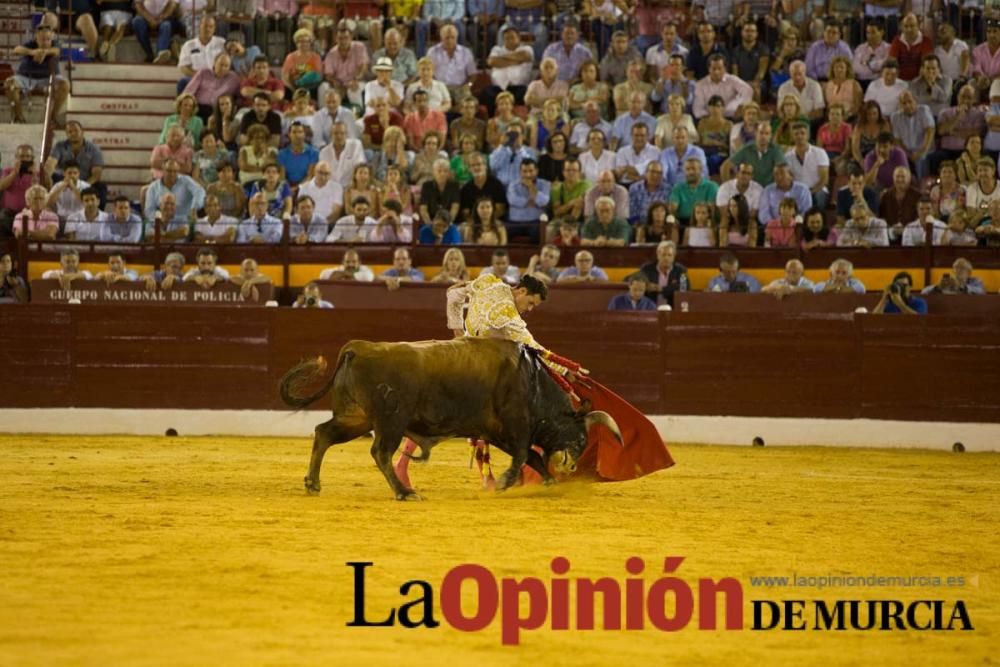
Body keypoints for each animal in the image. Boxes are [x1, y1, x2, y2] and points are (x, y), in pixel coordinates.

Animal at [278, 336, 620, 498]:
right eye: (580, 436)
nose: (571, 466)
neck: (532, 379)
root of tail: (357, 348)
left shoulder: (496, 431)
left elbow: (531, 457)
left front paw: (547, 481)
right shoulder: (516, 425)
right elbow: (525, 454)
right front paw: (506, 482)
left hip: (355, 417)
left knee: (324, 433)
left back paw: (313, 483)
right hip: (391, 420)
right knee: (380, 452)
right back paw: (405, 492)